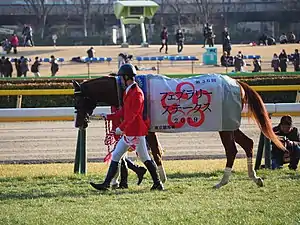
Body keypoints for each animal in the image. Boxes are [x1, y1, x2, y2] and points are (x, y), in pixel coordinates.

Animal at [72, 74, 284, 189]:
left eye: (78, 101)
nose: (78, 123)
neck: (129, 87)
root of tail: (237, 83)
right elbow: (143, 153)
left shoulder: (147, 128)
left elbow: (154, 152)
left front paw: (160, 179)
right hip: (231, 126)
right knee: (248, 143)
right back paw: (254, 177)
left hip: (224, 127)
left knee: (232, 150)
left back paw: (222, 181)